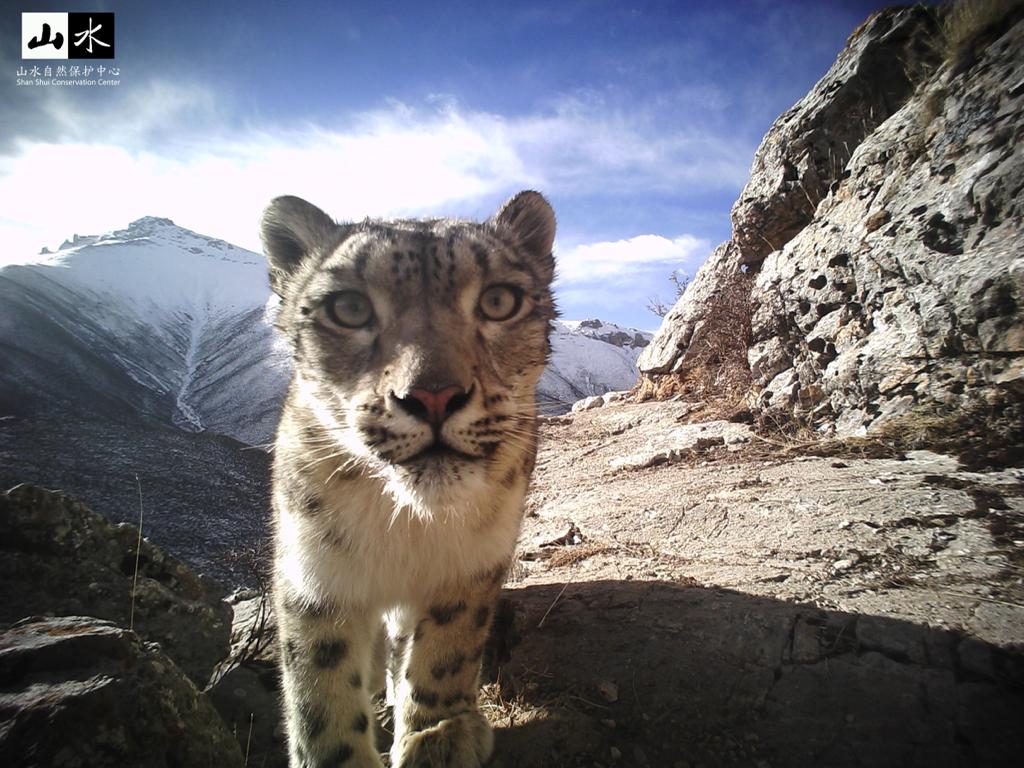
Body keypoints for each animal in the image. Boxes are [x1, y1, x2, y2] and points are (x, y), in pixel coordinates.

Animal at [260, 190, 556, 768]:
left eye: (499, 301)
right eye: (348, 308)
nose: (434, 396)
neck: (409, 529)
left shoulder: (473, 562)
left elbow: (446, 648)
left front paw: (437, 734)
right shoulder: (316, 575)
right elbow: (318, 678)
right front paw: (338, 755)